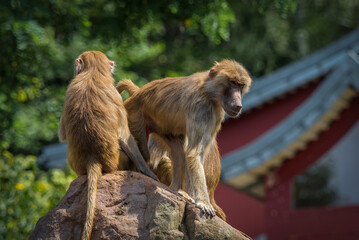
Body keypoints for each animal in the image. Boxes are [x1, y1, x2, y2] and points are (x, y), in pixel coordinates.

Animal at [58, 51, 158, 240]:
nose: (75, 70)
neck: (92, 73)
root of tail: (92, 158)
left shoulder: (68, 89)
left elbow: (62, 134)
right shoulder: (115, 96)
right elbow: (125, 136)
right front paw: (148, 172)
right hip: (118, 161)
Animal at [118, 59, 253, 217]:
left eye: (240, 86)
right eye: (232, 83)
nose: (238, 104)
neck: (208, 92)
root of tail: (138, 93)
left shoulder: (216, 112)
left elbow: (193, 155)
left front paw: (199, 200)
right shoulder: (201, 108)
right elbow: (194, 154)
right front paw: (203, 202)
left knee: (178, 150)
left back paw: (177, 190)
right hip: (134, 112)